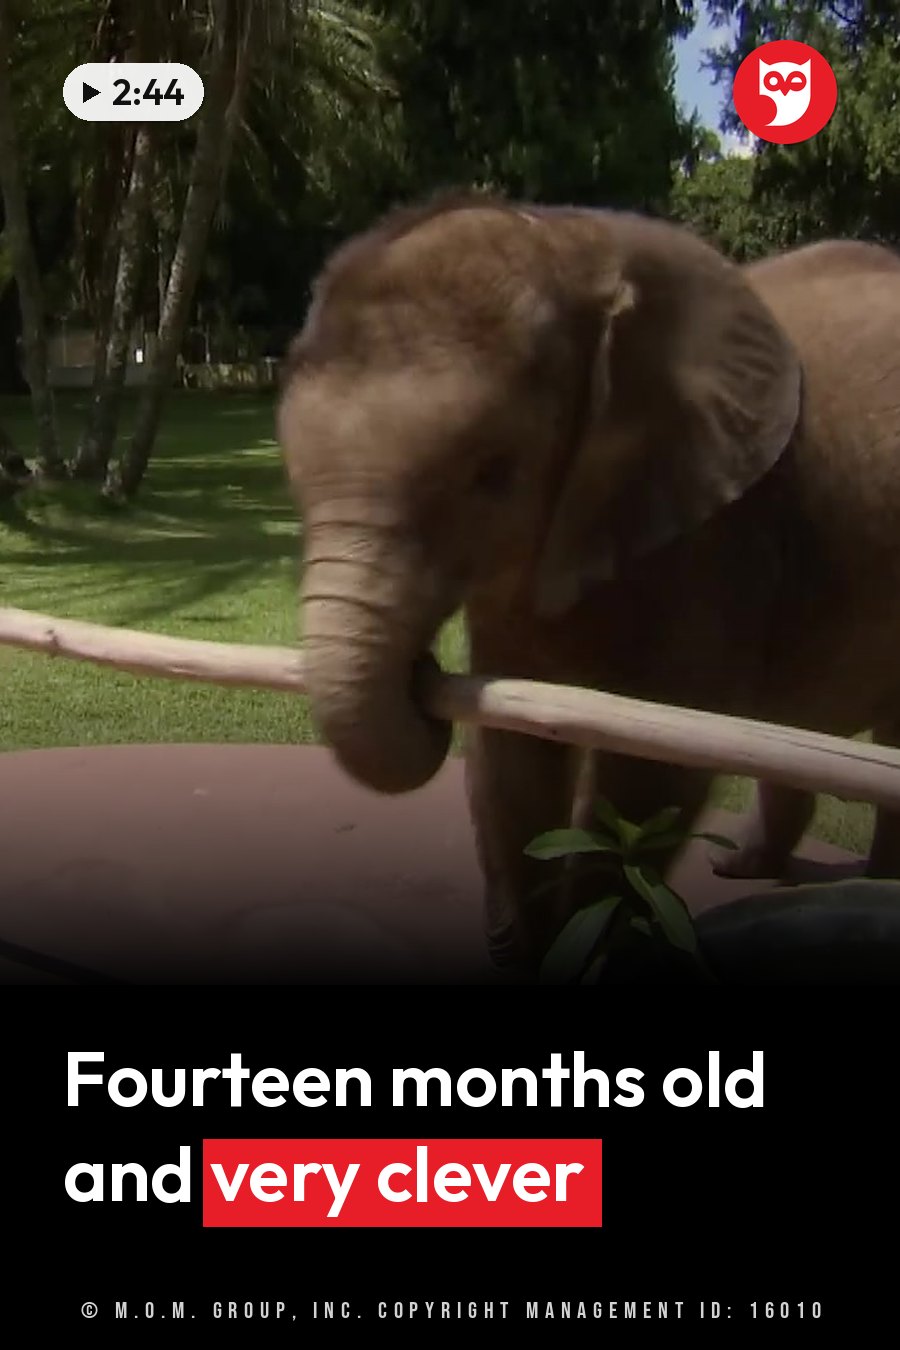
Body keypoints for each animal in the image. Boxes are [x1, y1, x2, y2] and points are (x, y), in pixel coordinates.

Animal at [276, 192, 900, 977]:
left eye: (493, 474)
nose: (422, 671)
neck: (564, 237)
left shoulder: (715, 542)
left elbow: (649, 769)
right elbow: (512, 754)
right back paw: (744, 870)